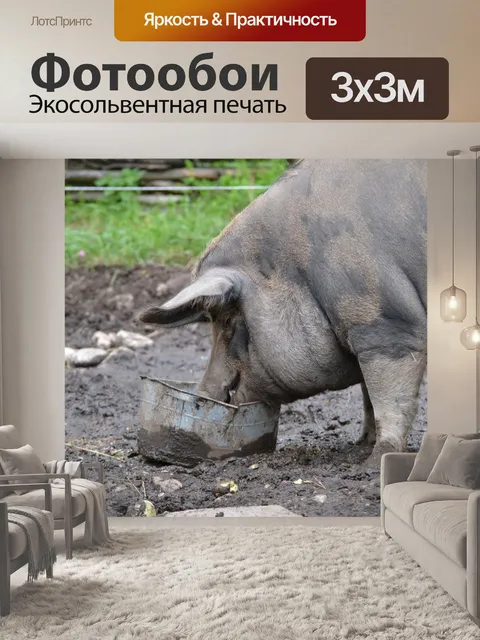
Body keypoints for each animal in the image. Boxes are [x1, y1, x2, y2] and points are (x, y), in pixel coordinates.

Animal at [138, 160, 427, 467]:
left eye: (228, 320)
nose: (202, 395)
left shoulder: (386, 326)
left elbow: (388, 399)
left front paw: (374, 461)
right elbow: (367, 396)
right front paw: (360, 446)